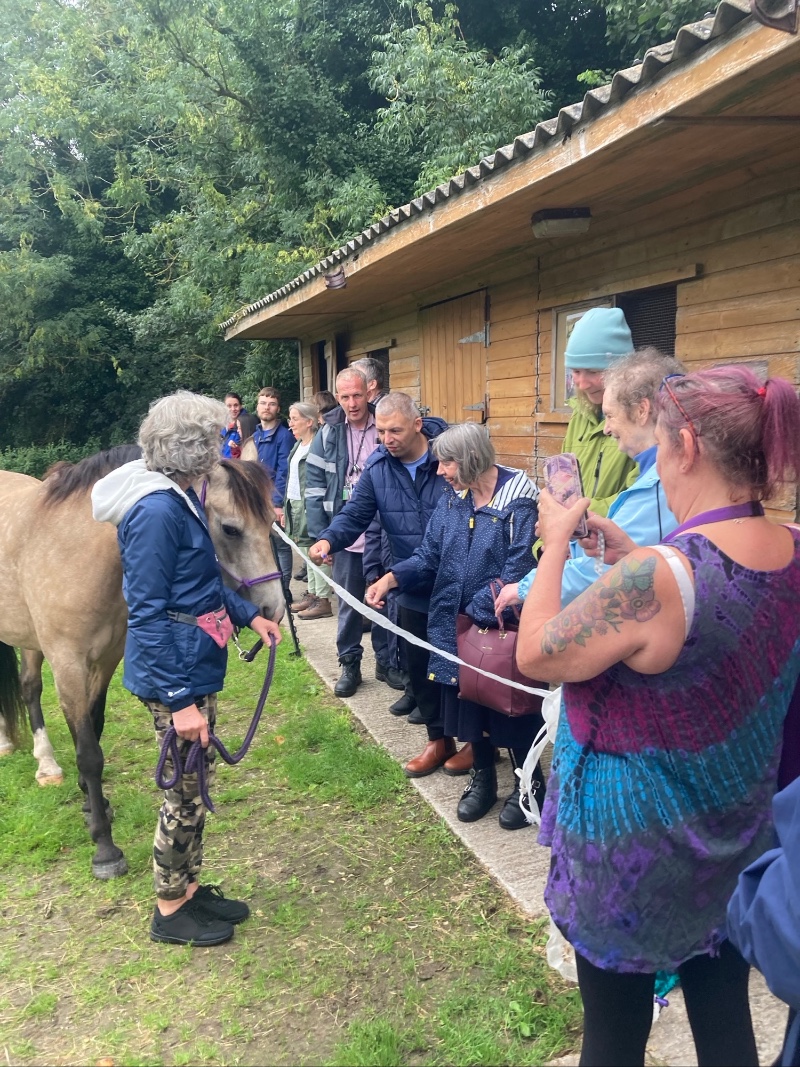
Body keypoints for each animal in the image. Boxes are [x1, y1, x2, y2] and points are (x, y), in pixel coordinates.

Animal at [0, 446, 285, 879]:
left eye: (271, 521)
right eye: (231, 529)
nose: (274, 609)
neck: (71, 551)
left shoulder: (107, 658)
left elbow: (93, 728)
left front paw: (92, 806)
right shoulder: (67, 663)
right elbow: (88, 753)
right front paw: (104, 847)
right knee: (31, 688)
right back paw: (42, 763)